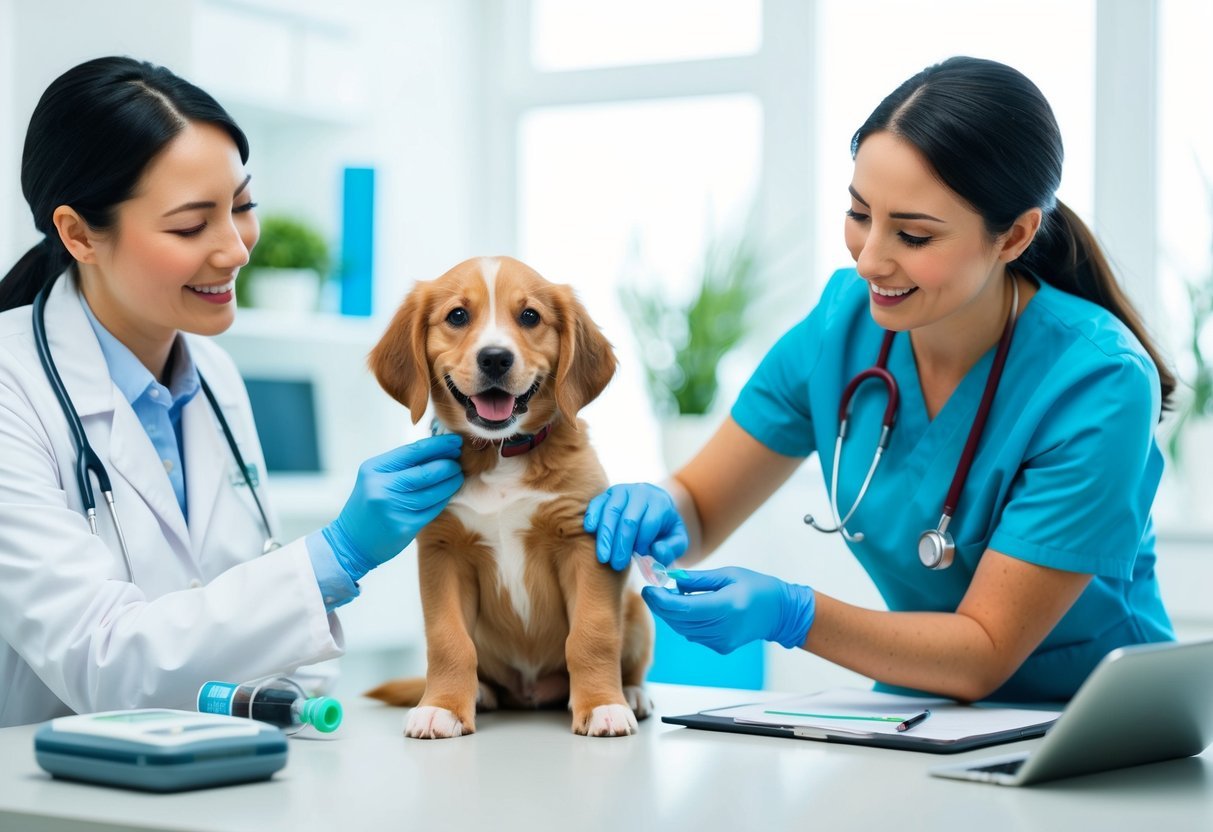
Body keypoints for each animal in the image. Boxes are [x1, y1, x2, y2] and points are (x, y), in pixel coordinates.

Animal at [361, 257, 655, 742]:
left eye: (530, 316)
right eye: (458, 316)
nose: (495, 357)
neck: (500, 452)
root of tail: (531, 692)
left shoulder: (583, 543)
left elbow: (592, 635)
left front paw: (602, 706)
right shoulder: (444, 552)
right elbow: (448, 641)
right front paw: (441, 706)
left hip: (635, 608)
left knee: (626, 661)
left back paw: (629, 693)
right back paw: (479, 693)